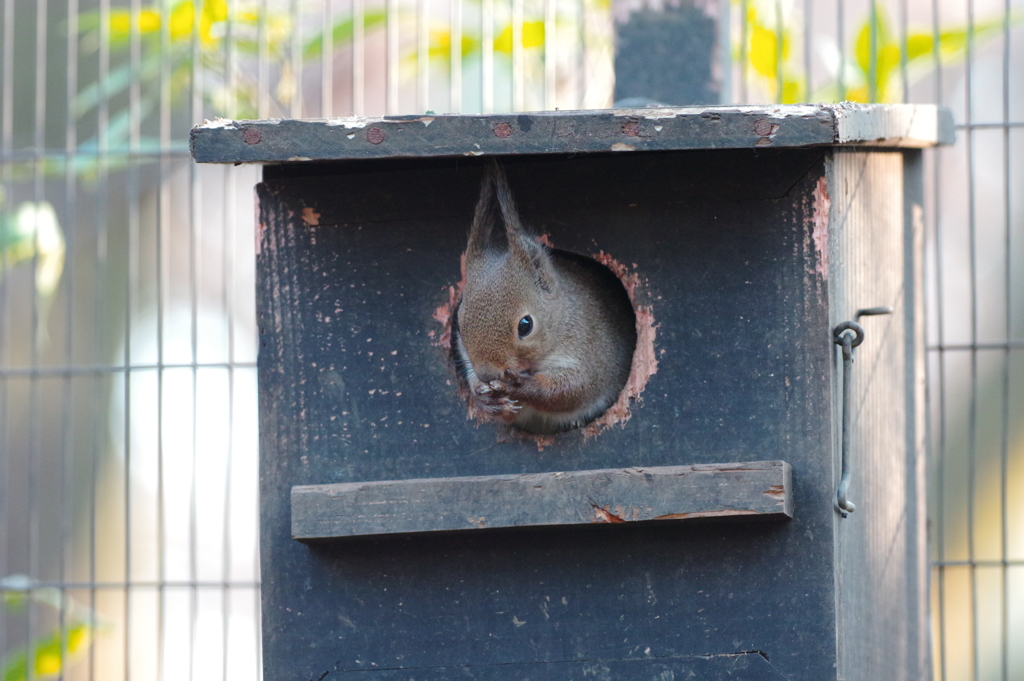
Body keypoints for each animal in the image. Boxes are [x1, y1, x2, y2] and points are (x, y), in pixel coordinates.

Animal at [452, 160, 634, 430]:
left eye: (525, 325)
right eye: (458, 323)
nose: (487, 375)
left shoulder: (592, 352)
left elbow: (574, 389)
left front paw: (522, 386)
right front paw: (486, 399)